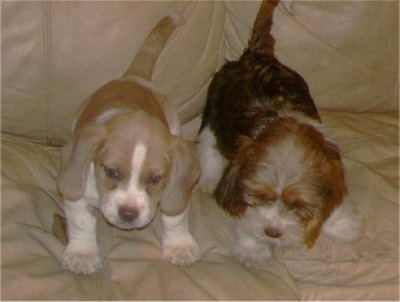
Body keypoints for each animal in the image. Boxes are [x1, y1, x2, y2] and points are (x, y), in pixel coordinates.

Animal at [57, 13, 202, 274]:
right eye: (111, 172)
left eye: (155, 178)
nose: (128, 213)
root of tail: (133, 77)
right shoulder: (77, 195)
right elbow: (81, 223)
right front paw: (82, 254)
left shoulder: (175, 193)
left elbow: (176, 219)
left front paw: (180, 246)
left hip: (175, 121)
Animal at [197, 0, 362, 268]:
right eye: (260, 196)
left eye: (297, 204)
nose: (272, 232)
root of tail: (255, 54)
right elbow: (247, 217)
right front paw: (252, 248)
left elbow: (333, 207)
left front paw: (341, 233)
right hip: (212, 112)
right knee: (208, 145)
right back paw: (208, 178)